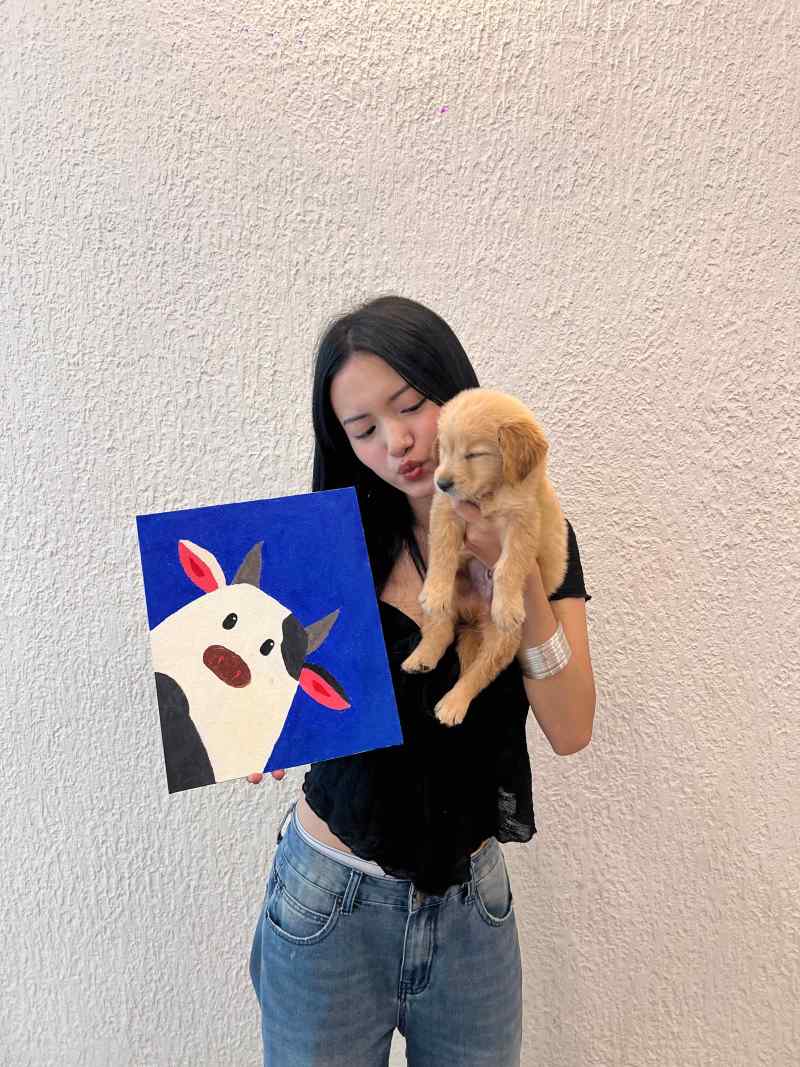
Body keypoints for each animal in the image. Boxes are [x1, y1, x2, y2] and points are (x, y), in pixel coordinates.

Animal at [400, 387, 568, 727]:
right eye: (444, 450)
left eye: (474, 455)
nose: (441, 482)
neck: (491, 493)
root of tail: (472, 613)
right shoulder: (445, 509)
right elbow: (442, 551)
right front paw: (434, 590)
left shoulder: (523, 522)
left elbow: (509, 565)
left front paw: (506, 606)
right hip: (452, 601)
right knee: (440, 630)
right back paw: (421, 657)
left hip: (504, 640)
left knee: (479, 672)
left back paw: (453, 703)